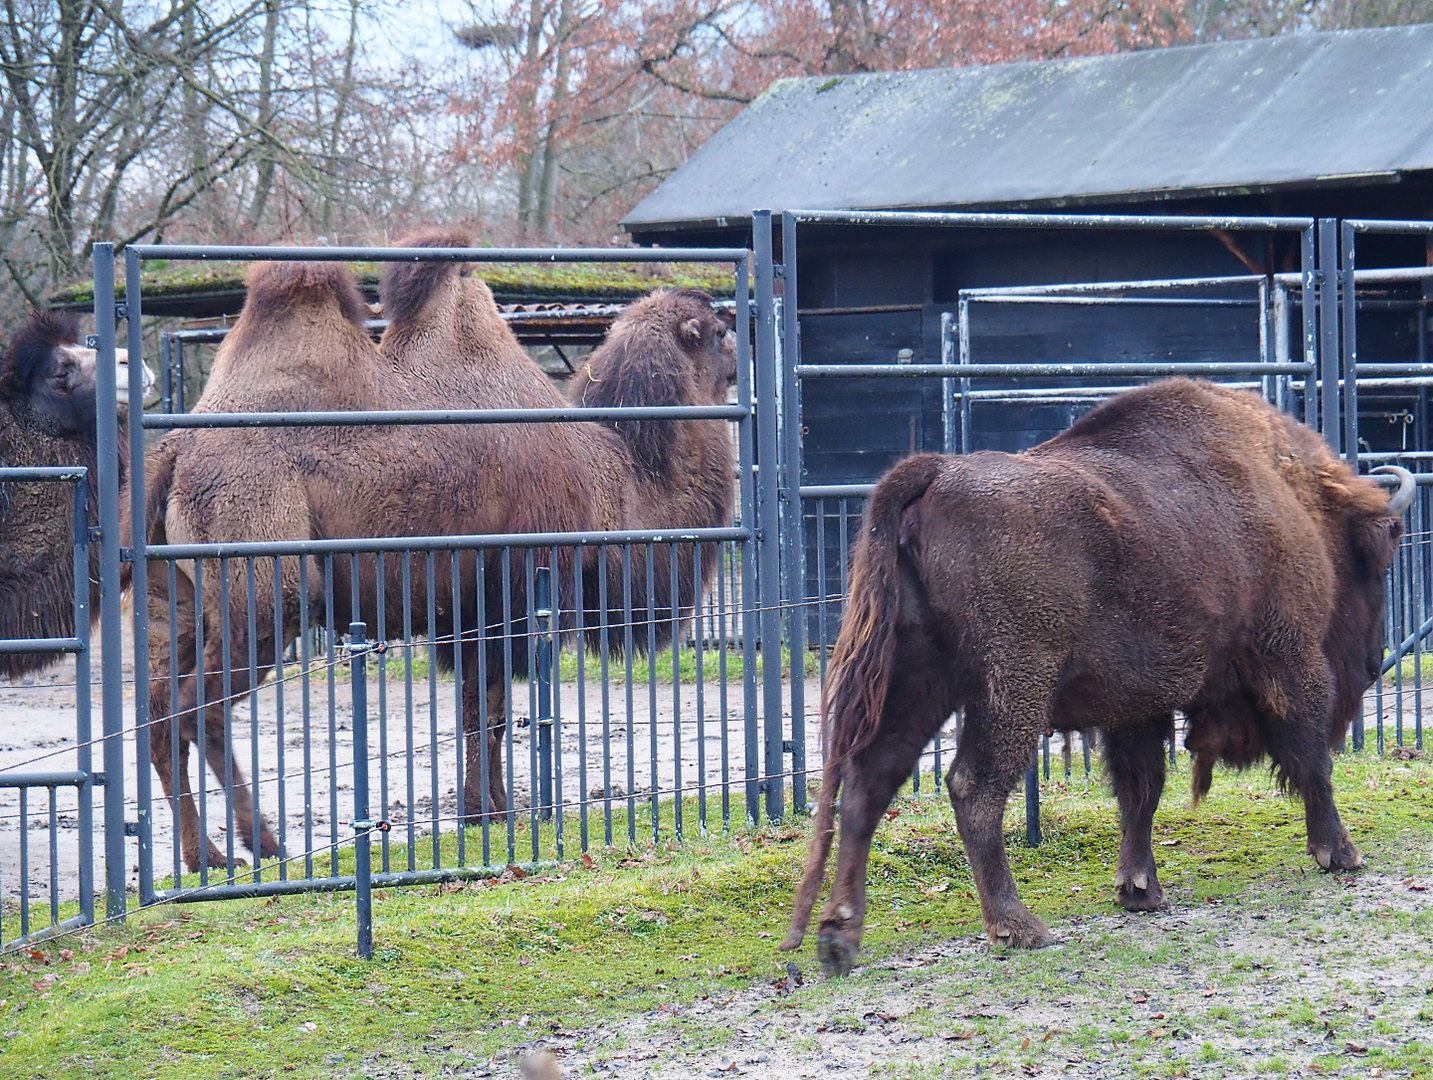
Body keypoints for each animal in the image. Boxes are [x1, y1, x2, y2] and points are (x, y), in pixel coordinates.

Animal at [137, 232, 736, 872]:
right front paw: (490, 811)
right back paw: (260, 845)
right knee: (201, 707)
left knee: (157, 711)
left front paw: (487, 808)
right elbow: (490, 711)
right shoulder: (517, 599)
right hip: (267, 589)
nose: (738, 346)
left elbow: (480, 708)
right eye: (718, 330)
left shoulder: (470, 609)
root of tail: (174, 453)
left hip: (177, 600)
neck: (614, 475)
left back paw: (205, 856)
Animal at [782, 379, 1414, 975]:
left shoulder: (1135, 706)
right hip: (1012, 684)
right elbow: (1311, 754)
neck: (1294, 495)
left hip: (917, 679)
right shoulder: (1289, 656)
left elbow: (1142, 788)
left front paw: (1139, 890)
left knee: (869, 782)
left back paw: (839, 939)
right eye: (1376, 563)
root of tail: (936, 472)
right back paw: (1017, 925)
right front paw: (1341, 853)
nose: (1373, 658)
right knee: (971, 786)